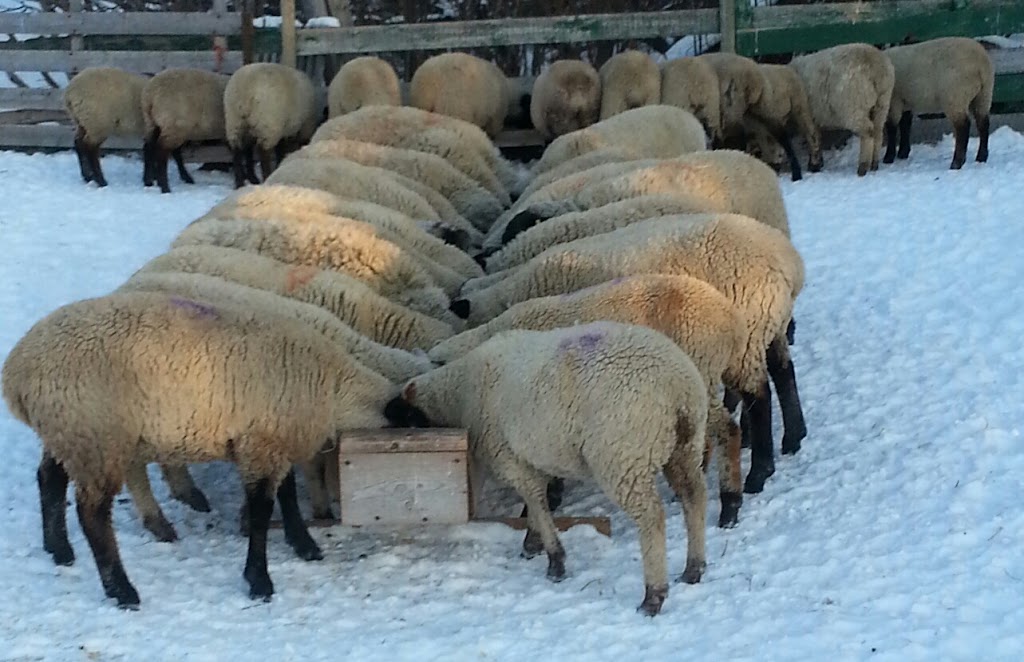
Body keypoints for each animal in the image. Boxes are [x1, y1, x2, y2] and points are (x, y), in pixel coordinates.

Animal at [1, 290, 407, 607]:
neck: (333, 389)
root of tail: (17, 372)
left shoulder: (271, 442)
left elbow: (287, 495)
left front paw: (303, 545)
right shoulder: (261, 444)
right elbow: (262, 511)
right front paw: (259, 581)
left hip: (68, 433)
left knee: (49, 480)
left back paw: (59, 550)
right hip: (96, 437)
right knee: (92, 513)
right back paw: (122, 590)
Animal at [383, 321, 709, 616]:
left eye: (403, 417)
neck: (460, 392)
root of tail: (676, 386)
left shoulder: (509, 456)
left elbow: (536, 500)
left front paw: (554, 559)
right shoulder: (531, 456)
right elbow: (536, 501)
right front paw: (534, 541)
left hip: (622, 454)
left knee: (651, 517)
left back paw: (653, 596)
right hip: (685, 448)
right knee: (695, 497)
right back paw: (693, 569)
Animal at [450, 213, 806, 494]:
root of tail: (788, 260)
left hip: (749, 327)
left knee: (758, 394)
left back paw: (759, 472)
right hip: (767, 323)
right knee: (782, 371)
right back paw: (793, 437)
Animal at [789, 43, 895, 176]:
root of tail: (875, 65)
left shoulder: (807, 116)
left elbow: (812, 139)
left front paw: (814, 165)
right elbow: (818, 138)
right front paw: (818, 163)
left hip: (854, 105)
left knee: (868, 132)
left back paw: (863, 166)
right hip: (882, 103)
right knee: (878, 132)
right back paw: (874, 164)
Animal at [882, 37, 994, 169]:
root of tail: (980, 63)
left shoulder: (894, 101)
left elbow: (891, 127)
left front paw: (889, 157)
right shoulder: (906, 101)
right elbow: (905, 125)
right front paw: (903, 153)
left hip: (955, 95)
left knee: (963, 126)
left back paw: (957, 162)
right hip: (984, 94)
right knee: (983, 124)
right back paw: (981, 157)